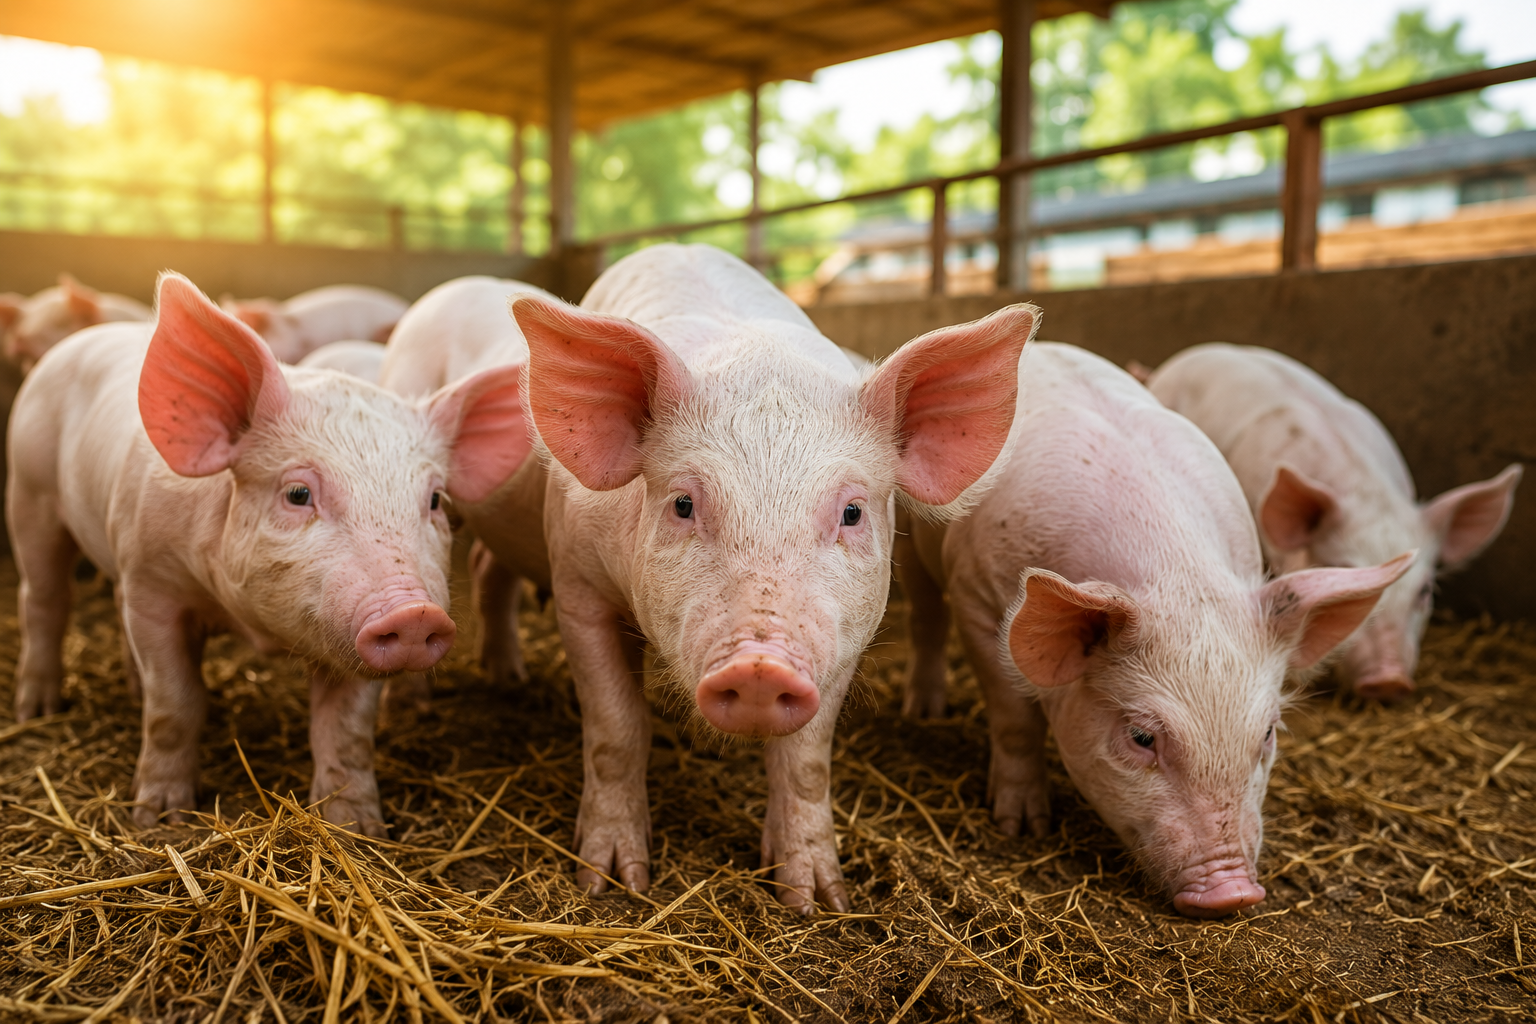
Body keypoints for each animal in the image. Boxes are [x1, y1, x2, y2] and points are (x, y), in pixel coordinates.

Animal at [515, 243, 1038, 912]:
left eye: (852, 512)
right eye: (683, 504)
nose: (760, 666)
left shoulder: (846, 637)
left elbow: (807, 761)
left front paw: (818, 901)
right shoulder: (576, 586)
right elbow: (615, 729)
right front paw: (610, 882)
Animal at [897, 343, 1412, 916]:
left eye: (1268, 734)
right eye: (1141, 737)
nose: (1231, 893)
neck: (1174, 572)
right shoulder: (975, 595)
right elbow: (1014, 721)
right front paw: (1021, 827)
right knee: (925, 615)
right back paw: (924, 711)